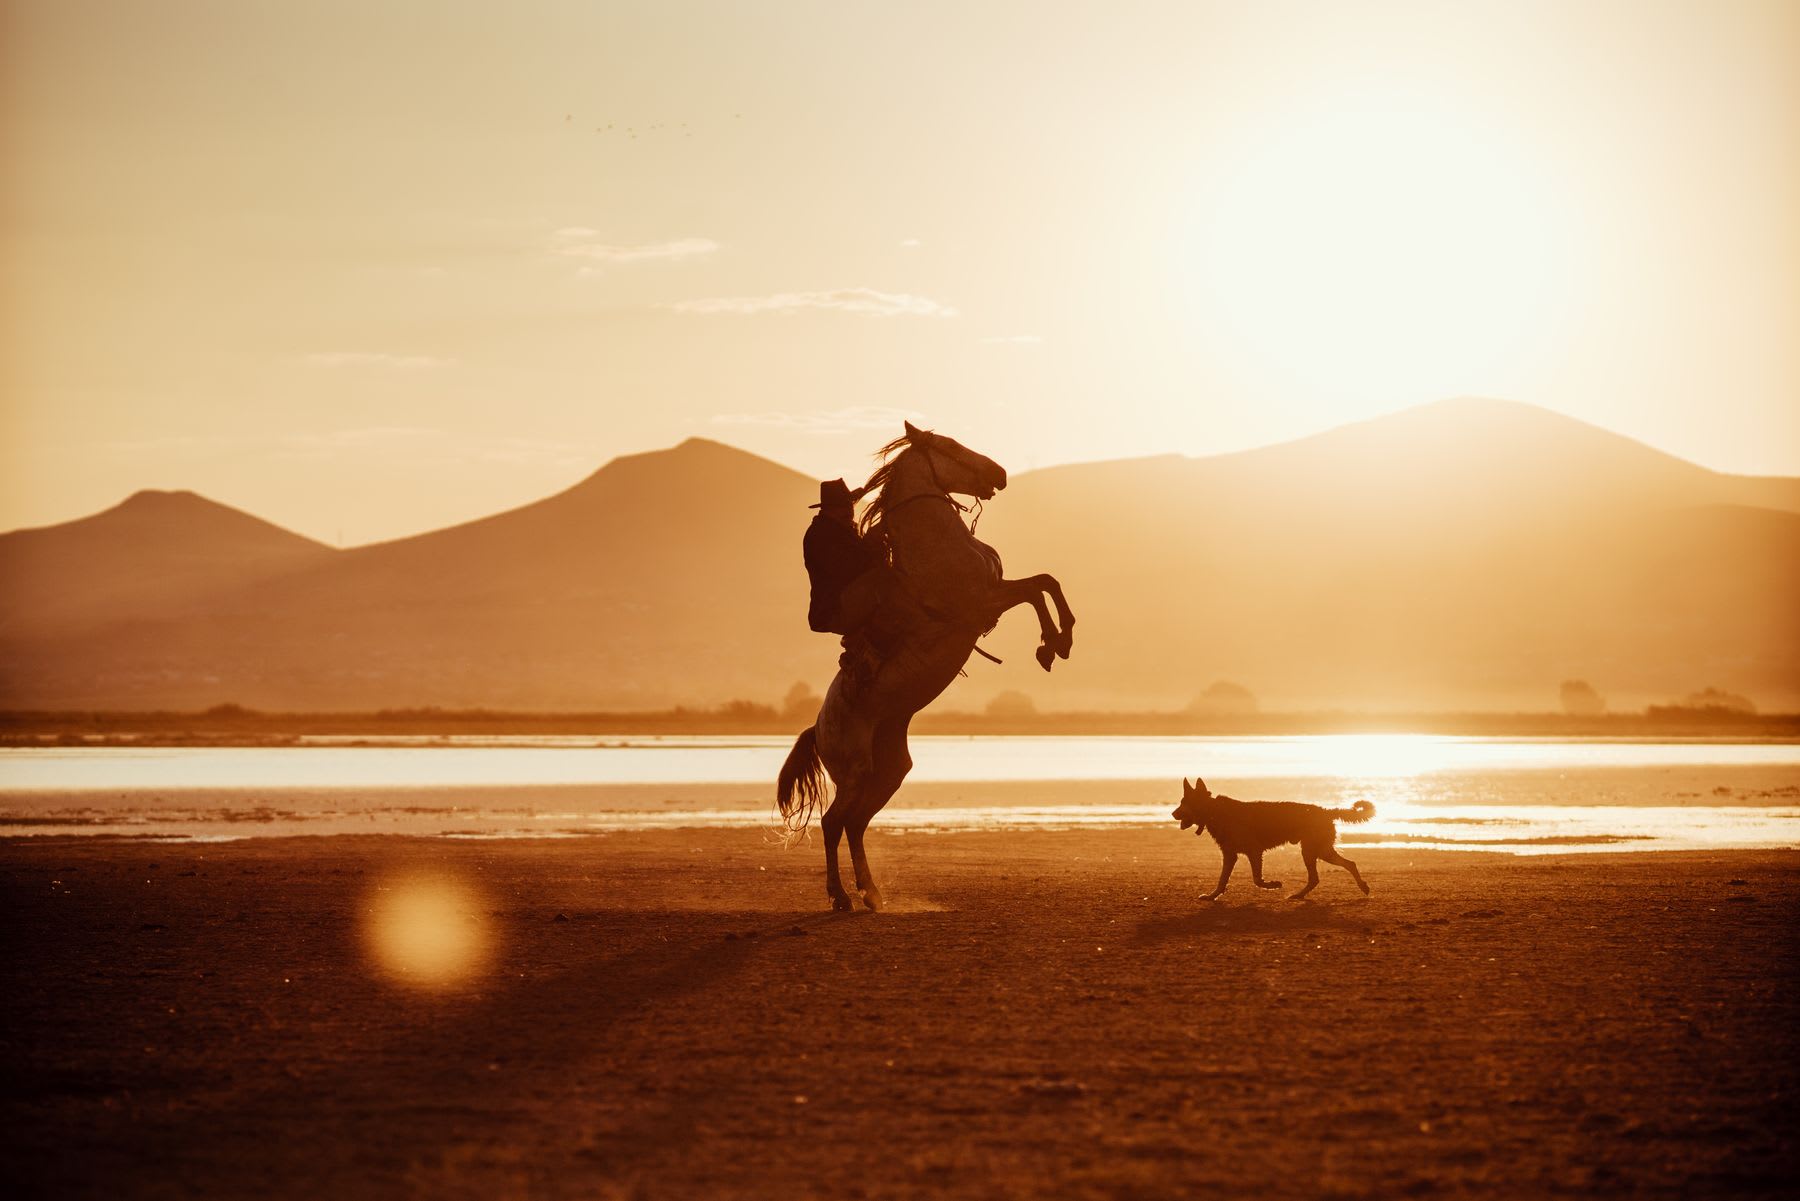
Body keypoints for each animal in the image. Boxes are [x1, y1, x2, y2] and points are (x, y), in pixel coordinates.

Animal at [770, 424, 1065, 911]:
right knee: (833, 823)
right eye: (950, 446)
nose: (999, 472)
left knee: (855, 823)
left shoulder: (995, 592)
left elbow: (1045, 583)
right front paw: (1055, 644)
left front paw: (1059, 641)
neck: (936, 544)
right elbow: (1037, 591)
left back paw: (872, 893)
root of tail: (818, 728)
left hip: (889, 771)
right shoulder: (981, 604)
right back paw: (842, 897)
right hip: (854, 770)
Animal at [1173, 781, 1368, 900]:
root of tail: (1326, 811)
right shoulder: (1230, 856)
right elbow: (1222, 880)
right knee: (1343, 866)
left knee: (1336, 869)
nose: (1173, 814)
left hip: (1314, 851)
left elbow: (1257, 880)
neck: (1214, 811)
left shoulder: (1254, 851)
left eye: (1184, 803)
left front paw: (1273, 885)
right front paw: (1212, 896)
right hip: (1318, 851)